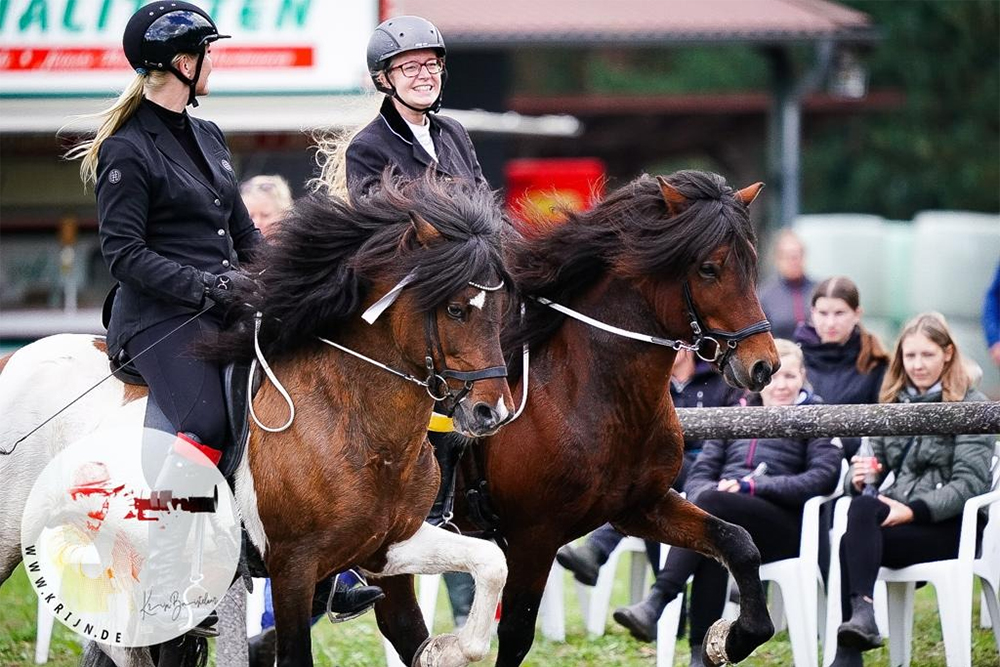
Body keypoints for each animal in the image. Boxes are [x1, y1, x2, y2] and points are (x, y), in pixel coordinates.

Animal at [0, 177, 516, 667]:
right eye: (455, 309)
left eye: (502, 311)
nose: (492, 412)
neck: (357, 424)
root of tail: (12, 361)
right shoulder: (293, 567)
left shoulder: (389, 546)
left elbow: (484, 569)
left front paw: (447, 649)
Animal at [376, 171, 780, 667]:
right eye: (709, 268)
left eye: (751, 262)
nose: (763, 366)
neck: (595, 398)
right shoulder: (534, 536)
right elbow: (516, 632)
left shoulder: (641, 508)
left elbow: (737, 542)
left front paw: (731, 638)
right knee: (400, 620)